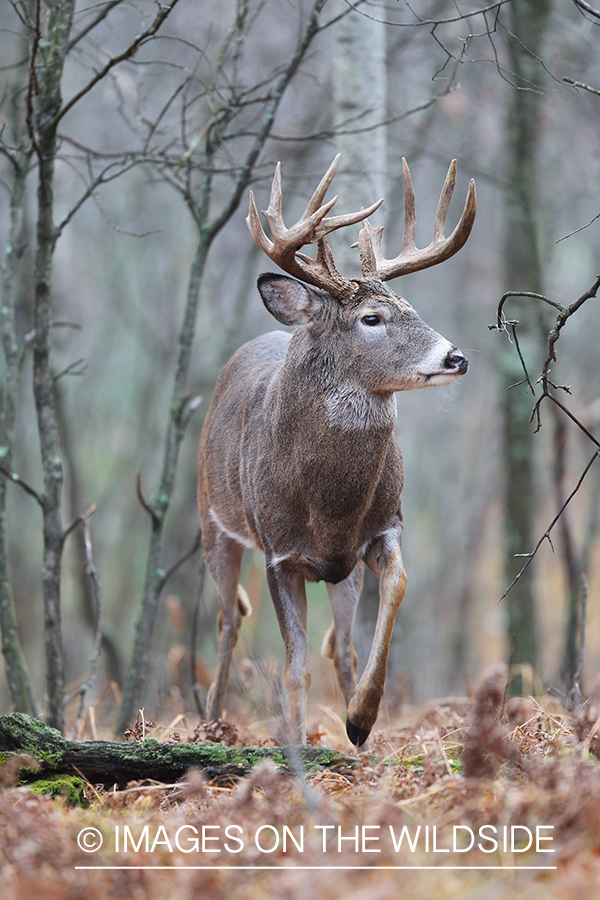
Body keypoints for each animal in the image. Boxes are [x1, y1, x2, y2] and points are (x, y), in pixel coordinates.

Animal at [199, 155, 476, 744]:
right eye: (371, 318)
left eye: (411, 307)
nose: (456, 357)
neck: (327, 505)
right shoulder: (279, 553)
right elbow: (294, 666)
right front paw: (298, 743)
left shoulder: (383, 527)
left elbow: (395, 589)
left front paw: (360, 718)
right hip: (212, 520)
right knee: (228, 617)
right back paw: (210, 723)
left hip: (340, 572)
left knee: (341, 644)